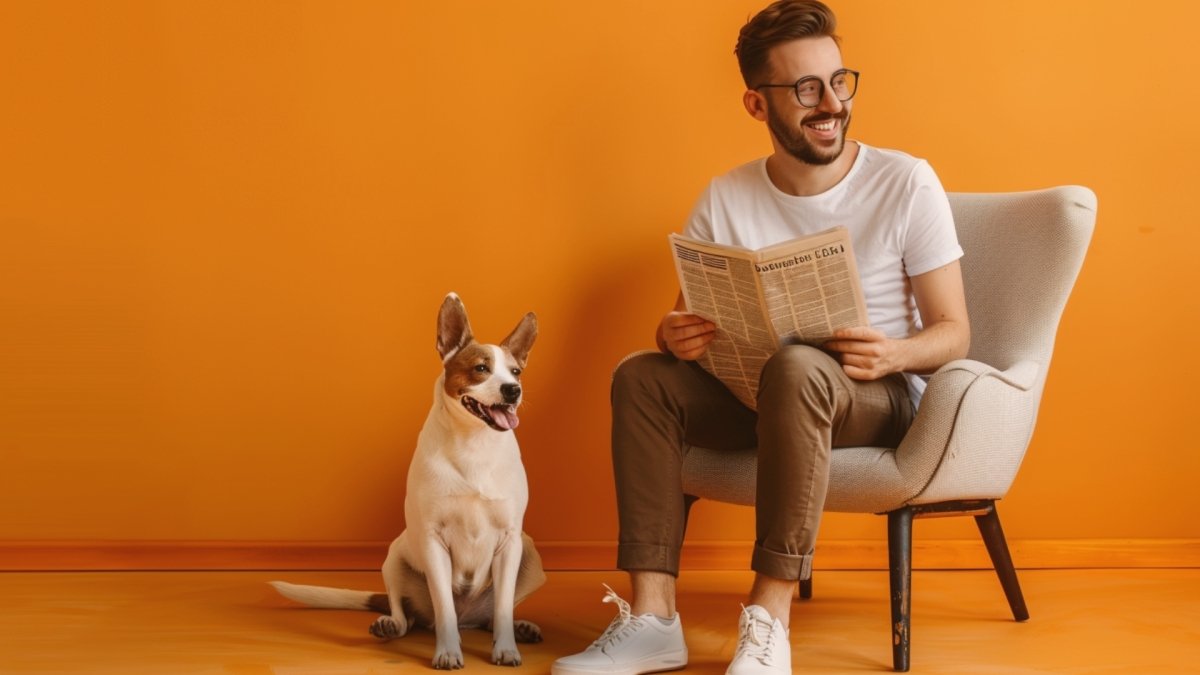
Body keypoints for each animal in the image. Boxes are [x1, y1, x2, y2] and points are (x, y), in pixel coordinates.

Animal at [270, 293, 547, 667]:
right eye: (481, 368)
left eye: (516, 371)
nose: (513, 390)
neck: (473, 444)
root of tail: (470, 617)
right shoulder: (433, 540)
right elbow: (444, 607)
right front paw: (447, 651)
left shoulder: (510, 541)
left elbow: (503, 606)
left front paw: (506, 648)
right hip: (395, 556)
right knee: (407, 614)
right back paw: (390, 624)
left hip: (530, 554)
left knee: (494, 616)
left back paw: (520, 627)